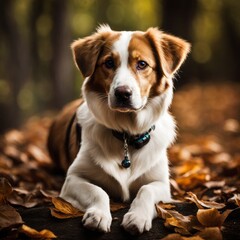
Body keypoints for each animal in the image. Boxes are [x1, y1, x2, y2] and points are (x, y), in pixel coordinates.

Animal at [47, 24, 190, 234]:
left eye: (142, 64)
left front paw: (137, 217)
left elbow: (145, 190)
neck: (126, 134)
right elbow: (98, 191)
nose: (123, 93)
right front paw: (98, 215)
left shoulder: (162, 184)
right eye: (108, 63)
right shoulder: (73, 178)